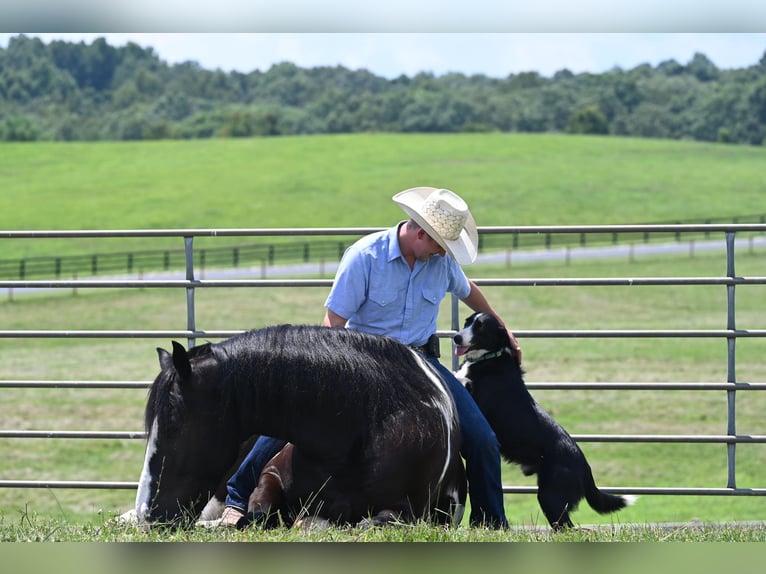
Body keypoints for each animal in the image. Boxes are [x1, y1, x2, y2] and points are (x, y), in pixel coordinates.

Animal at [456, 316, 636, 532]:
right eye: (467, 322)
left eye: (480, 327)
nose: (456, 338)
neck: (489, 358)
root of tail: (585, 468)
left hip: (550, 496)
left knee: (567, 527)